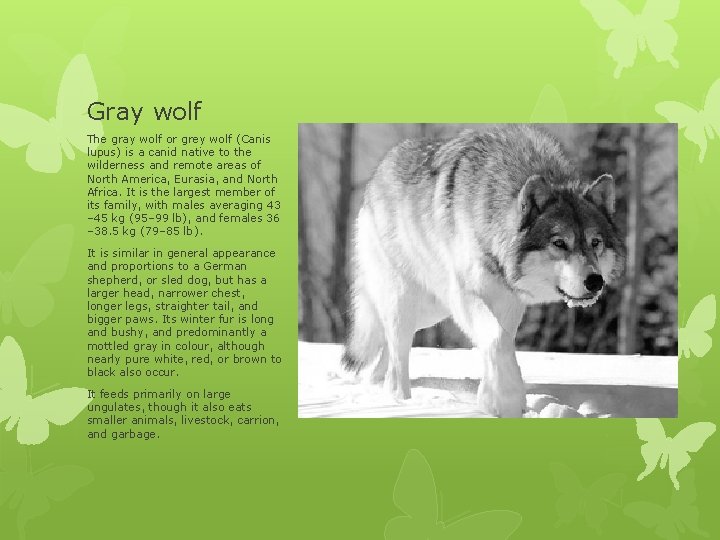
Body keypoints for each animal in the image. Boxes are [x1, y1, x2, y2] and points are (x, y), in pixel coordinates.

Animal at [341, 125, 625, 417]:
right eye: (559, 243)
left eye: (595, 242)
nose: (595, 282)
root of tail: (378, 172)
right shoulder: (466, 294)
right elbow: (497, 339)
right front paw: (506, 399)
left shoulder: (509, 301)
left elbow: (501, 341)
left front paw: (492, 399)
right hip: (409, 302)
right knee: (397, 353)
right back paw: (399, 399)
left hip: (431, 311)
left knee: (388, 347)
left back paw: (376, 383)